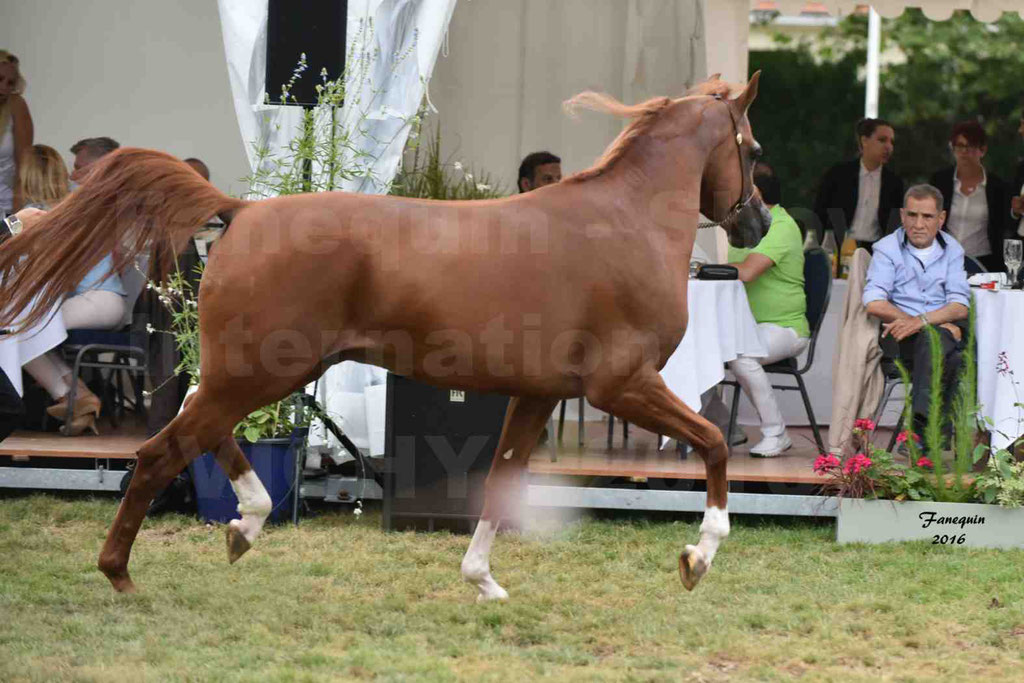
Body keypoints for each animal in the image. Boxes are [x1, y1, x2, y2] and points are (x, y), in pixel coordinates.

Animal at [0, 72, 770, 602]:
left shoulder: (537, 395)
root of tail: (240, 212)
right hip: (262, 371)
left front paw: (481, 579)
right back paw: (124, 571)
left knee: (199, 426)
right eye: (754, 147)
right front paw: (698, 556)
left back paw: (246, 522)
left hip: (250, 372)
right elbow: (712, 442)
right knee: (163, 449)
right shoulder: (623, 384)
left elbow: (501, 484)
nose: (757, 222)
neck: (624, 222)